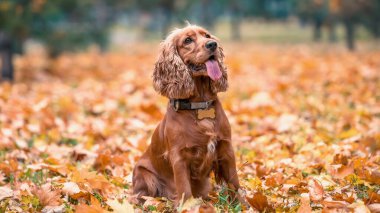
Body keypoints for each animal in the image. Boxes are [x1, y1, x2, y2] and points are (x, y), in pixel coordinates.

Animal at [133, 24, 240, 206]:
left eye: (207, 35)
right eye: (188, 40)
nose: (212, 44)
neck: (199, 105)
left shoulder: (226, 149)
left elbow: (235, 182)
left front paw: (244, 205)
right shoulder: (179, 157)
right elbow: (184, 188)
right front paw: (187, 207)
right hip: (144, 174)